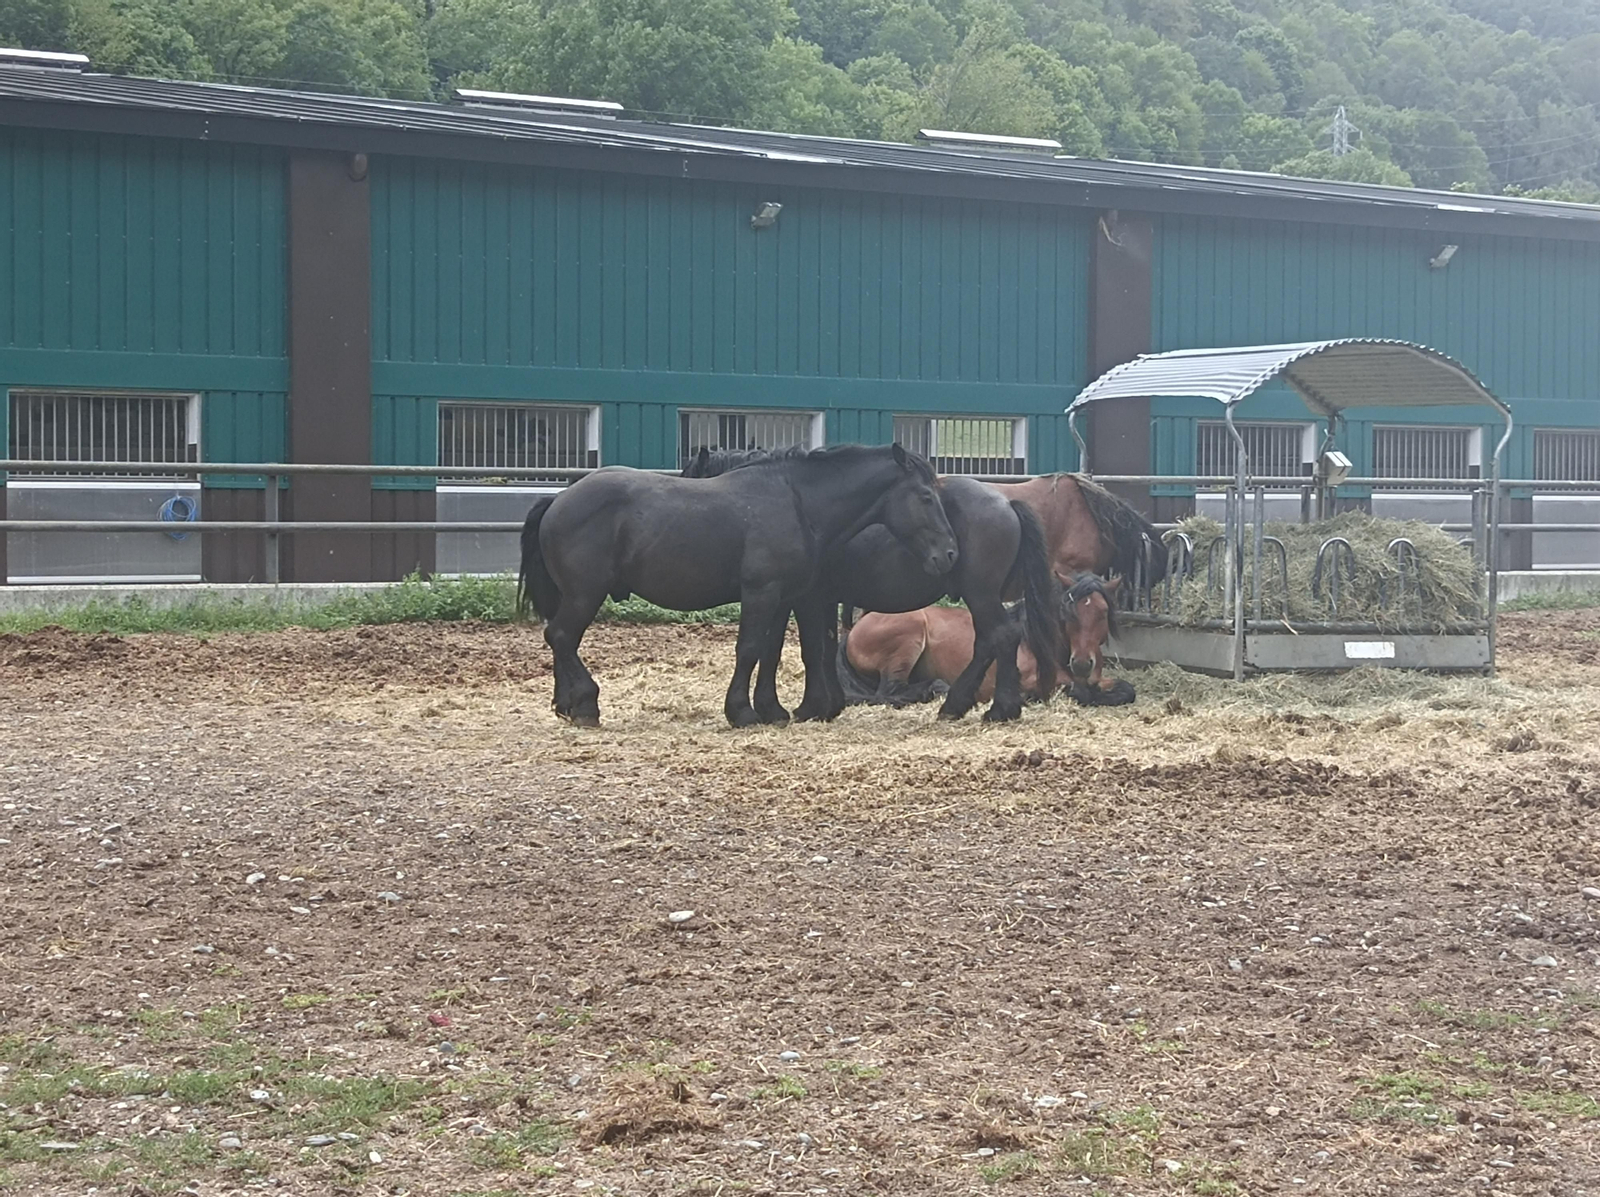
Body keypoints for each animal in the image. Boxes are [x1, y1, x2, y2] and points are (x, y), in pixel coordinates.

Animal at [518, 443, 957, 729]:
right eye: (925, 496)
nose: (949, 553)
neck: (798, 503)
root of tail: (557, 501)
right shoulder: (762, 592)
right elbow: (749, 650)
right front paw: (742, 712)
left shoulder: (784, 596)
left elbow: (770, 652)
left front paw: (772, 711)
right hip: (585, 594)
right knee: (561, 636)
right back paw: (586, 706)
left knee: (561, 639)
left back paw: (567, 705)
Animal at [682, 446, 1062, 724]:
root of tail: (1006, 502)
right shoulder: (817, 598)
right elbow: (822, 645)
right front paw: (827, 705)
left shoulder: (800, 597)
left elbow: (801, 648)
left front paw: (810, 707)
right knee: (987, 642)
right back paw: (956, 705)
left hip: (980, 594)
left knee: (1002, 637)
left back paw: (1000, 709)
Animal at [838, 574, 1135, 709]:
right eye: (1067, 613)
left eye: (1103, 612)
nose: (1083, 664)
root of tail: (853, 630)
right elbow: (1076, 690)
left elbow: (1126, 689)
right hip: (909, 635)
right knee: (888, 692)